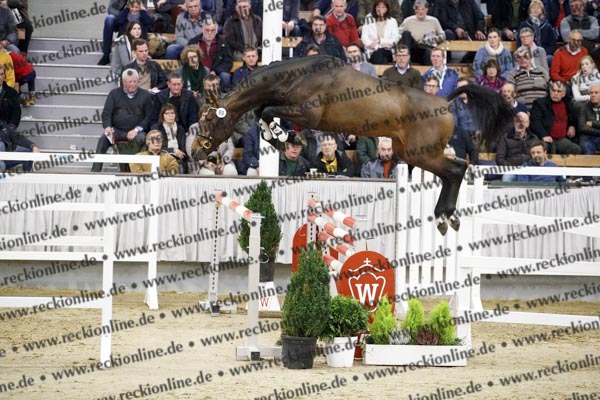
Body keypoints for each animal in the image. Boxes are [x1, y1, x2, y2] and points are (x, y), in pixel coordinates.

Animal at [196, 55, 514, 235]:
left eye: (209, 119)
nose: (197, 150)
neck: (298, 75)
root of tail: (445, 101)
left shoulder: (307, 113)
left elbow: (267, 111)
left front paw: (284, 136)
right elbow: (264, 113)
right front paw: (281, 137)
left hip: (422, 153)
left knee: (457, 169)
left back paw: (445, 216)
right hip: (412, 153)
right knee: (452, 171)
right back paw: (445, 217)